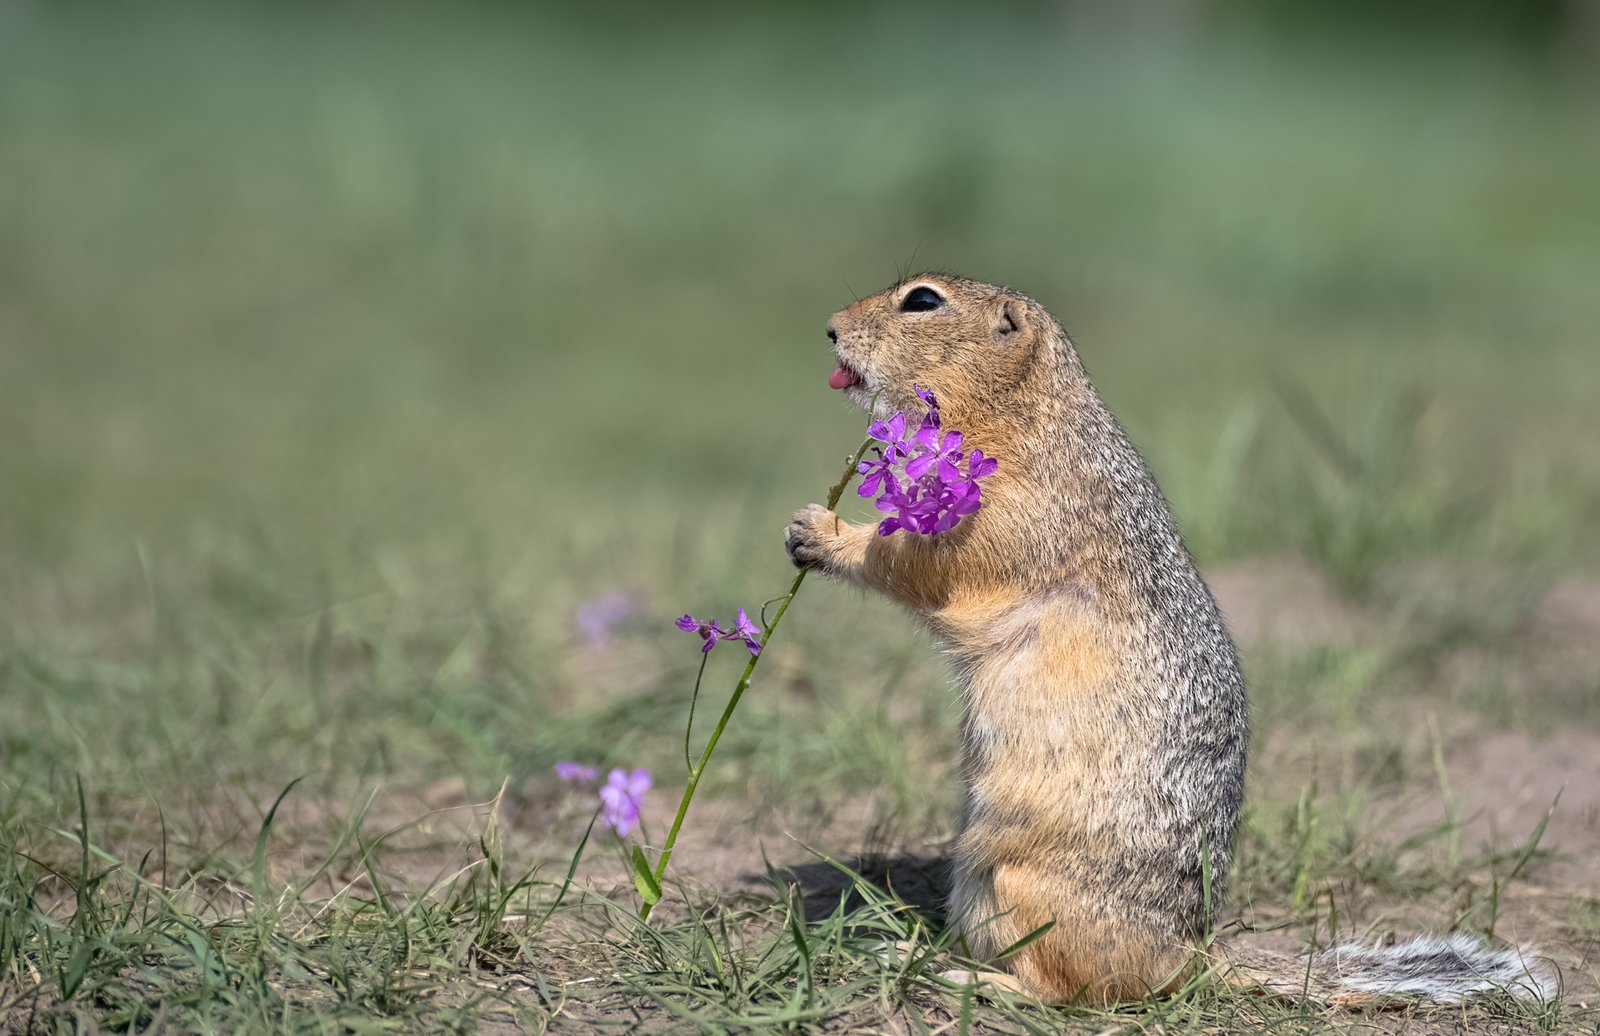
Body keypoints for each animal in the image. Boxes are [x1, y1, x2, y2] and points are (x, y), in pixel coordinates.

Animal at [780, 273, 1555, 1004]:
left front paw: (822, 531)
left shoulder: (1004, 514)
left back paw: (961, 977)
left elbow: (920, 566)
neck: (1025, 414)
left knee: (1067, 993)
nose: (829, 328)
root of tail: (1189, 956)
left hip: (1021, 884)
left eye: (923, 301)